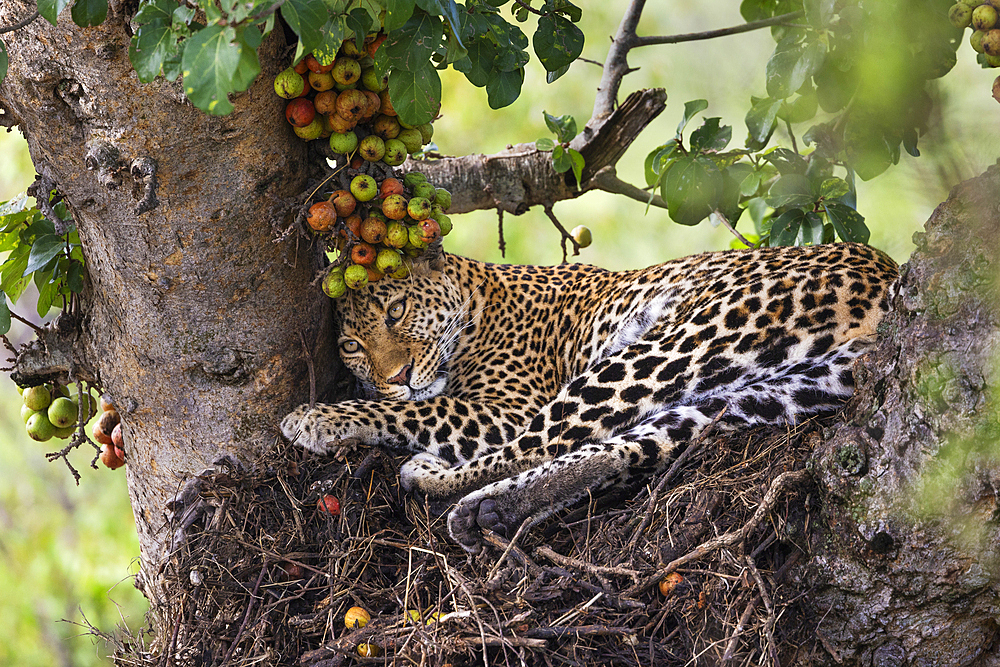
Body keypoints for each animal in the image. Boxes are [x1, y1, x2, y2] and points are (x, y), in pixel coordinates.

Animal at [282, 240, 900, 552]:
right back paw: (490, 508)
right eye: (352, 345)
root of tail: (888, 278)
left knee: (542, 442)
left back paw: (436, 478)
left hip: (681, 339)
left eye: (396, 310)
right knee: (629, 444)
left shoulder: (503, 409)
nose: (398, 373)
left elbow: (414, 409)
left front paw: (317, 418)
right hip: (773, 389)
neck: (478, 298)